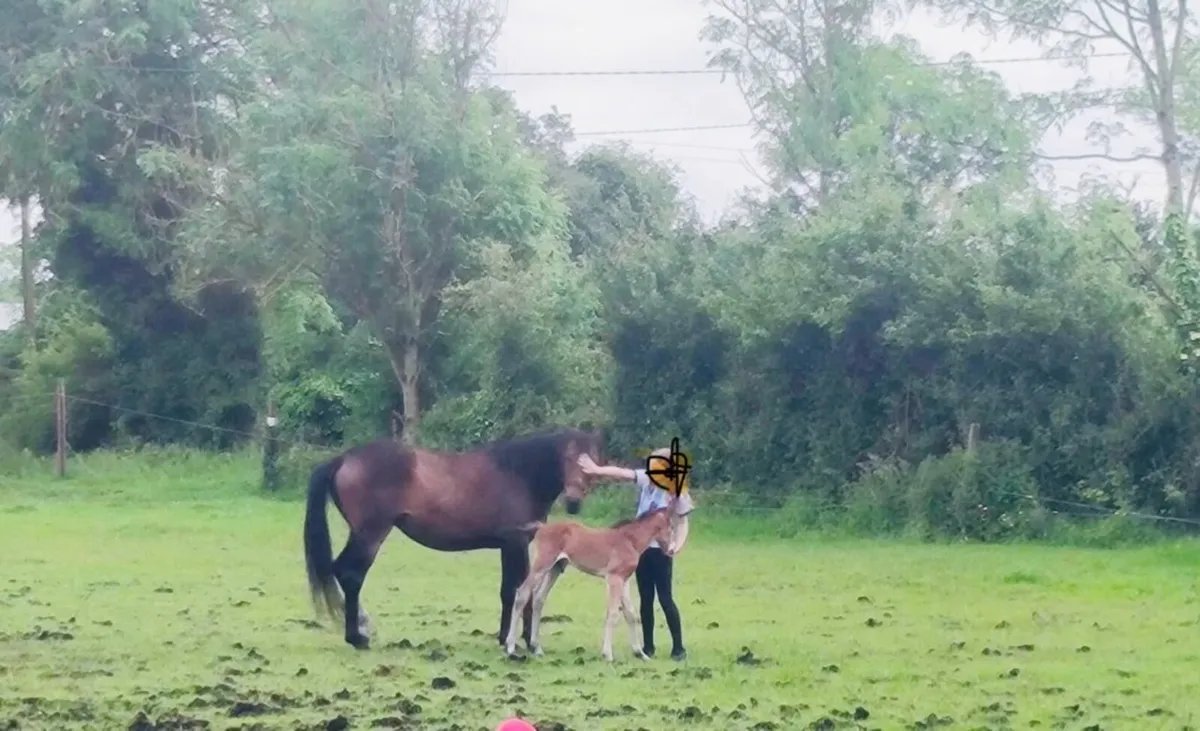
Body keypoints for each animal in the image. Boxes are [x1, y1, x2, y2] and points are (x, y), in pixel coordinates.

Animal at [302, 427, 604, 651]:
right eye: (567, 457)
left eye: (590, 461)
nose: (573, 501)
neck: (519, 474)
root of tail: (345, 459)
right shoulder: (515, 543)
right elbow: (517, 589)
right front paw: (520, 641)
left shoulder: (510, 546)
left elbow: (513, 590)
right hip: (370, 534)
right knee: (350, 574)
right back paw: (357, 637)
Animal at [503, 500, 678, 662]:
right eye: (670, 527)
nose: (671, 550)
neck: (630, 541)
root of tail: (542, 527)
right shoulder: (614, 578)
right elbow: (613, 613)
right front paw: (608, 655)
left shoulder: (625, 579)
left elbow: (630, 613)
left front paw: (640, 653)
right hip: (542, 564)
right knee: (523, 593)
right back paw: (510, 647)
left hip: (555, 568)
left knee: (539, 598)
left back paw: (537, 648)